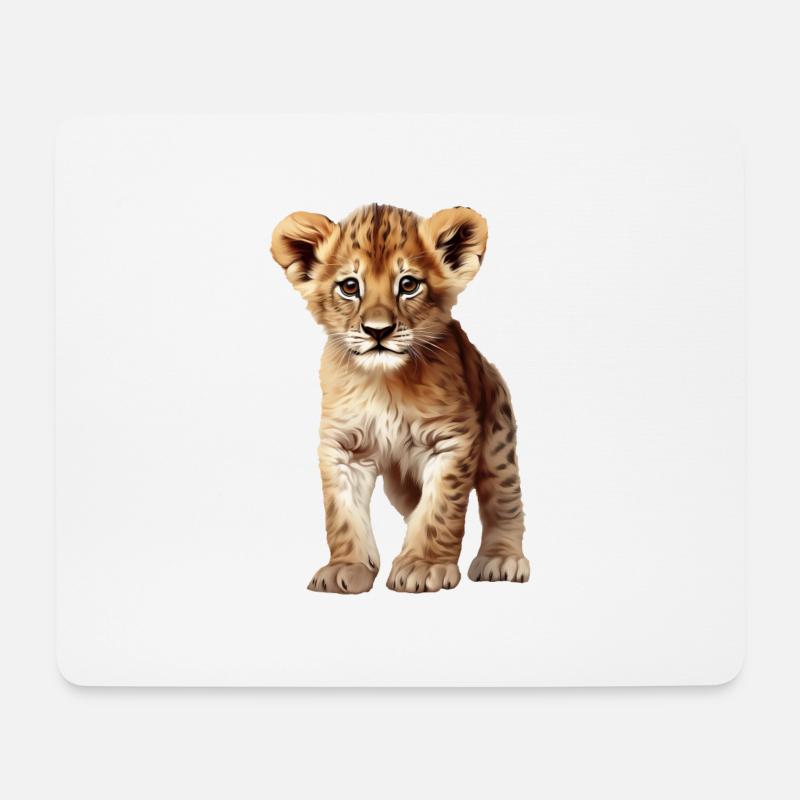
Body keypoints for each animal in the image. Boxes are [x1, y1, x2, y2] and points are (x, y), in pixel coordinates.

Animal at [270, 204, 530, 593]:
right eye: (350, 286)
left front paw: (423, 565)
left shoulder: (451, 440)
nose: (378, 331)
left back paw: (502, 559)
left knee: (504, 499)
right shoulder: (343, 447)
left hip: (497, 438)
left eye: (408, 285)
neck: (384, 382)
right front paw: (347, 567)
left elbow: (440, 510)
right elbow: (342, 515)